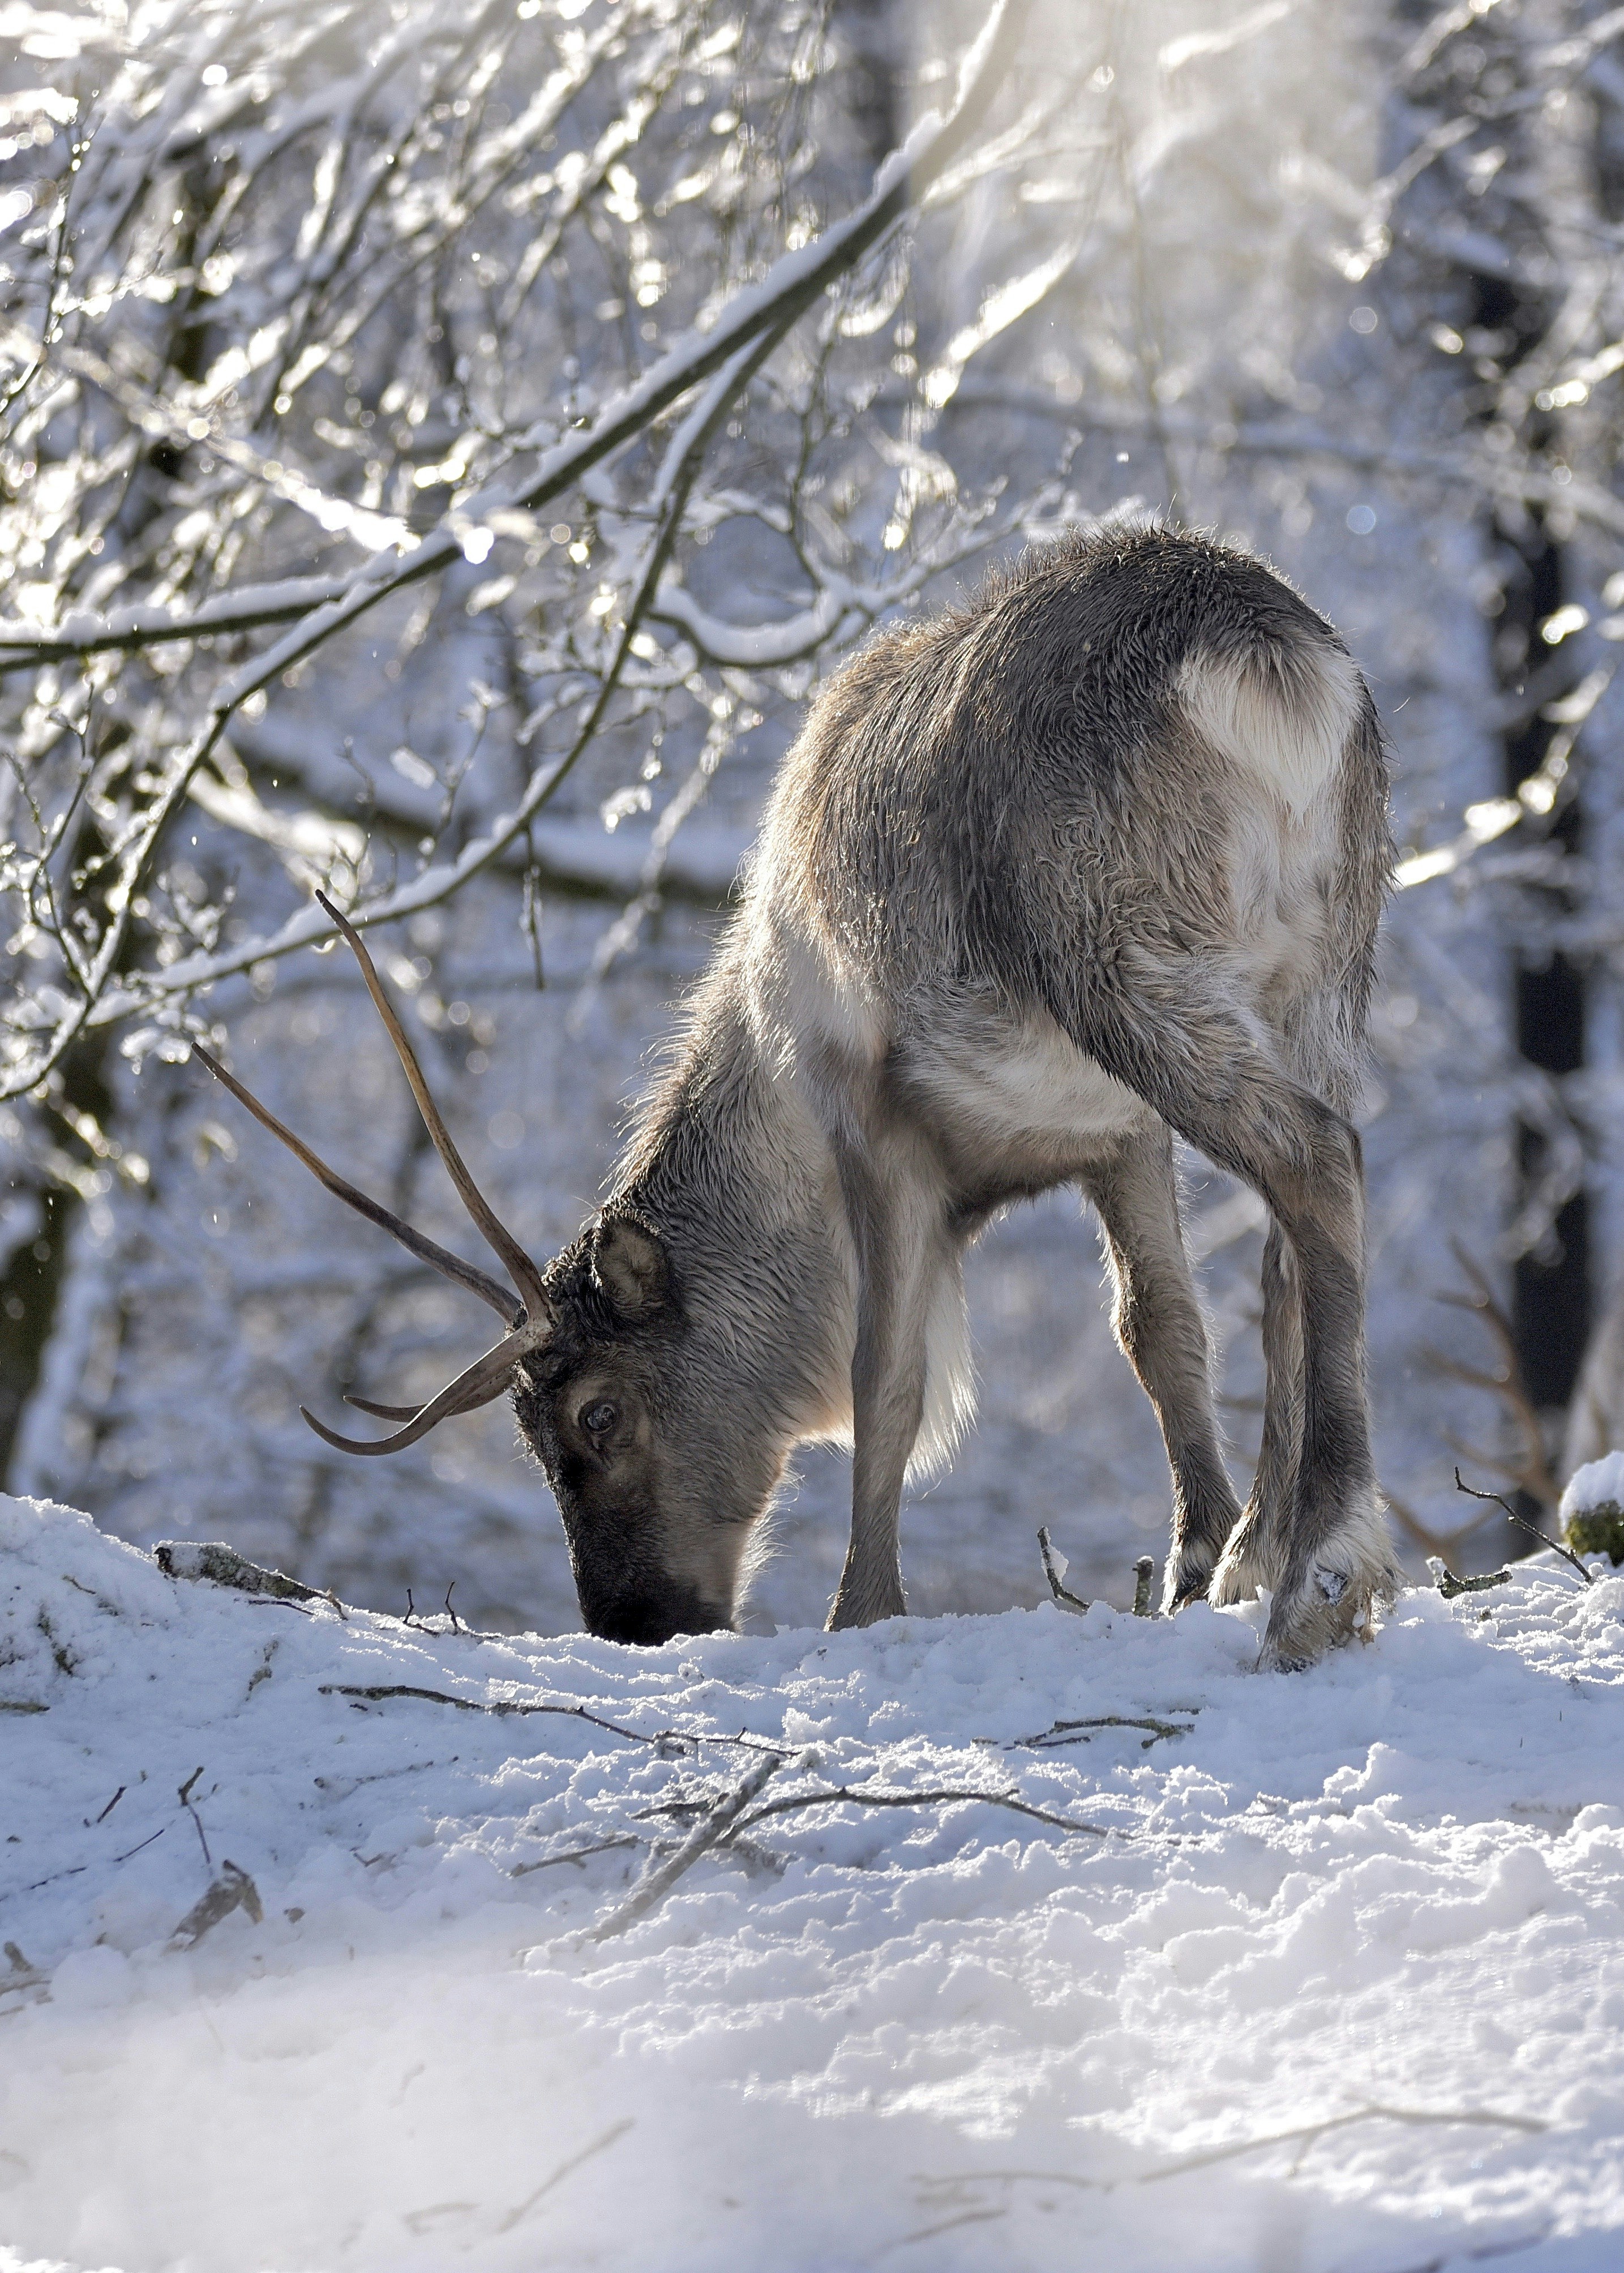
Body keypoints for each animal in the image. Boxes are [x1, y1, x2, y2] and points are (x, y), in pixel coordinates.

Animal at [196, 523, 1398, 1669]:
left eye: (597, 1411)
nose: (634, 1620)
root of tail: (1266, 657)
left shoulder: (867, 1113)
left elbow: (887, 1374)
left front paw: (859, 1609)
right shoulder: (1114, 1132)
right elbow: (1159, 1329)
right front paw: (1203, 1557)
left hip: (1119, 957)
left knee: (1313, 1157)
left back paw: (1321, 1578)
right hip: (1320, 974)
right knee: (1291, 1239)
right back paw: (1271, 1547)